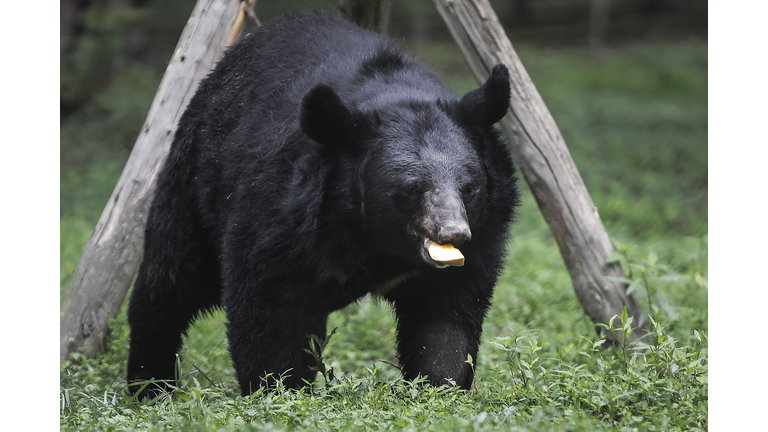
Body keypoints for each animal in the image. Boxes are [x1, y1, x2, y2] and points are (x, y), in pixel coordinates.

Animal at [126, 13, 519, 398]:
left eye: (468, 188)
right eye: (412, 188)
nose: (453, 233)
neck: (377, 238)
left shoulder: (483, 233)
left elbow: (446, 316)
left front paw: (439, 390)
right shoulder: (283, 214)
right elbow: (268, 308)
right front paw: (277, 391)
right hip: (194, 178)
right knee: (172, 278)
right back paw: (148, 384)